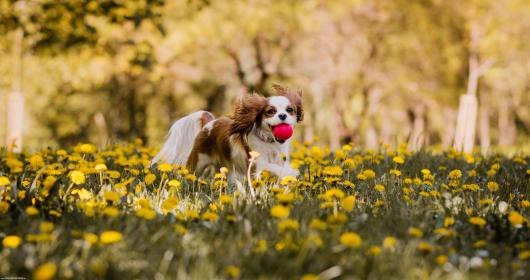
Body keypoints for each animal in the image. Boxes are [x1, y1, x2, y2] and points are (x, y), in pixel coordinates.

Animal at [151, 84, 304, 180]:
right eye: (271, 111)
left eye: (290, 110)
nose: (283, 115)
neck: (269, 142)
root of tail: (209, 123)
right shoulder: (255, 163)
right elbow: (272, 167)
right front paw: (290, 173)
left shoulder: (280, 159)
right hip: (197, 163)